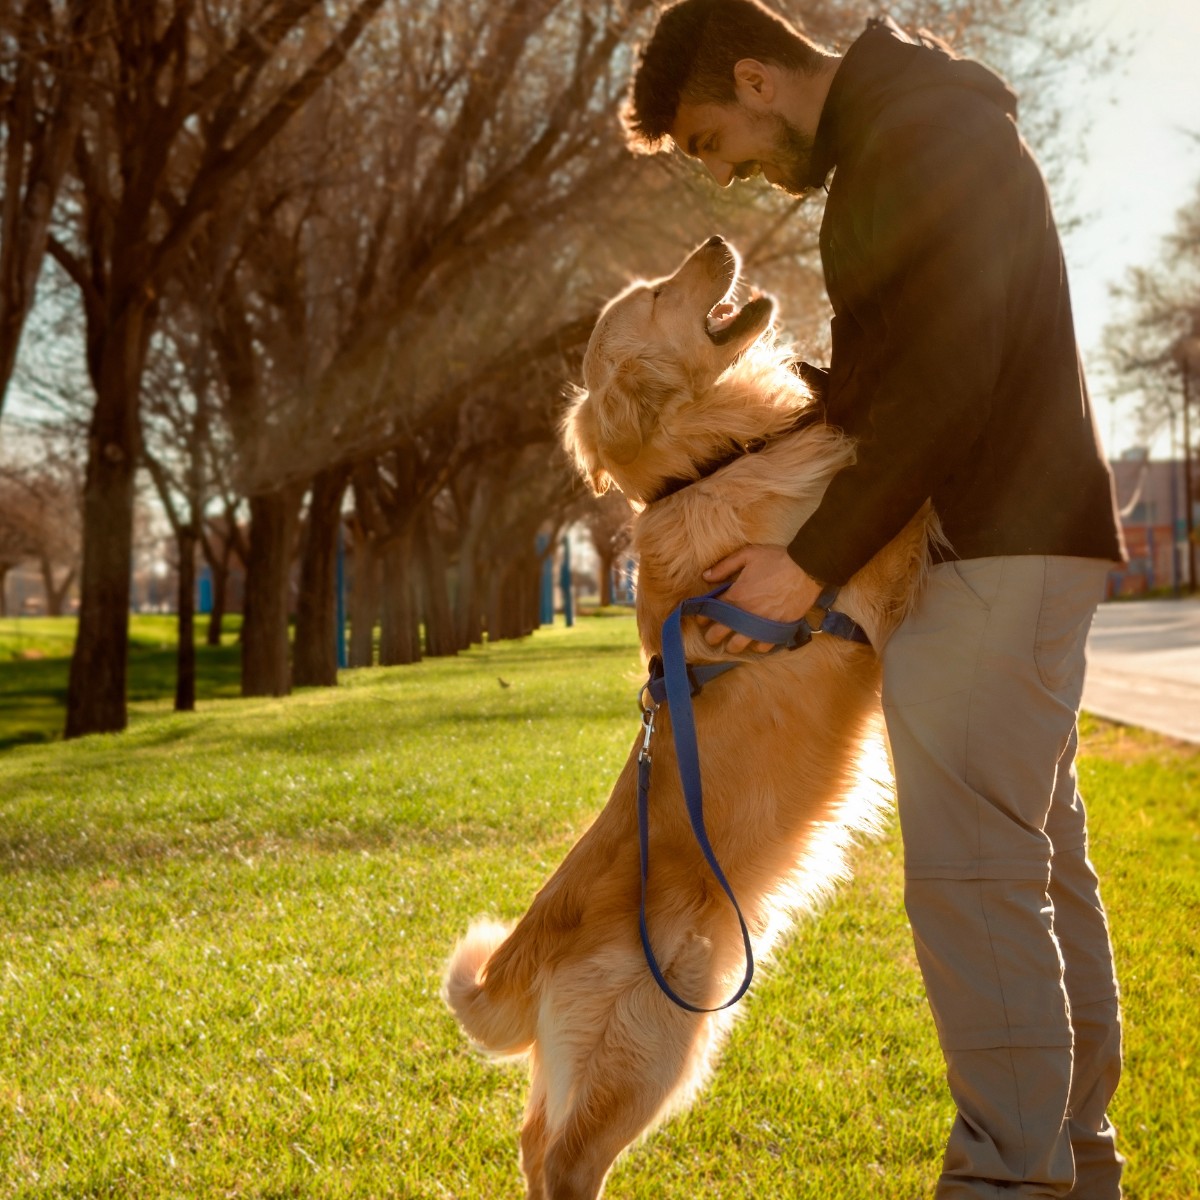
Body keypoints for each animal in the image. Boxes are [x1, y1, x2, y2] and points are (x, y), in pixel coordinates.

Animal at [446, 236, 931, 1200]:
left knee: (532, 1139)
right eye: (658, 295)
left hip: (597, 1055)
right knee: (567, 1160)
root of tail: (529, 947)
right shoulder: (860, 557)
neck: (710, 464)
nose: (714, 242)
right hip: (654, 1038)